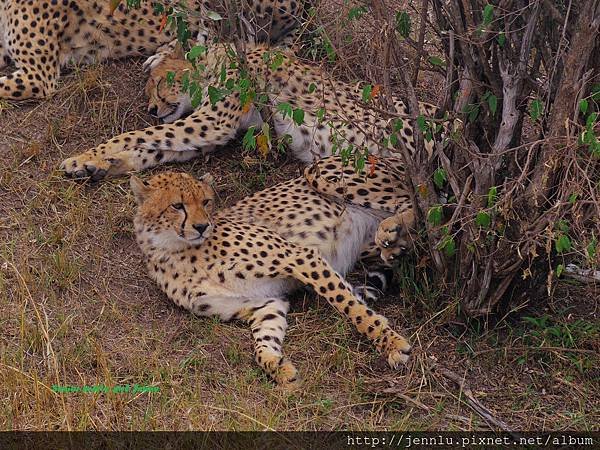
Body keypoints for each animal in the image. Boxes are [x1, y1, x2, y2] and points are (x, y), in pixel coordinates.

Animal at [61, 41, 436, 179]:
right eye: (149, 89)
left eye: (158, 83)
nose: (153, 108)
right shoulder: (212, 133)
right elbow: (153, 148)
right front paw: (99, 164)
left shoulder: (210, 122)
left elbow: (138, 135)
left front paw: (87, 156)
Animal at [131, 156, 412, 386]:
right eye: (177, 205)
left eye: (206, 202)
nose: (202, 226)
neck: (175, 251)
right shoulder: (263, 302)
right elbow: (263, 340)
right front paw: (276, 366)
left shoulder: (301, 257)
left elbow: (350, 306)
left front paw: (391, 343)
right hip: (367, 246)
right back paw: (395, 243)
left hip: (323, 173)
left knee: (415, 200)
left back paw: (391, 227)